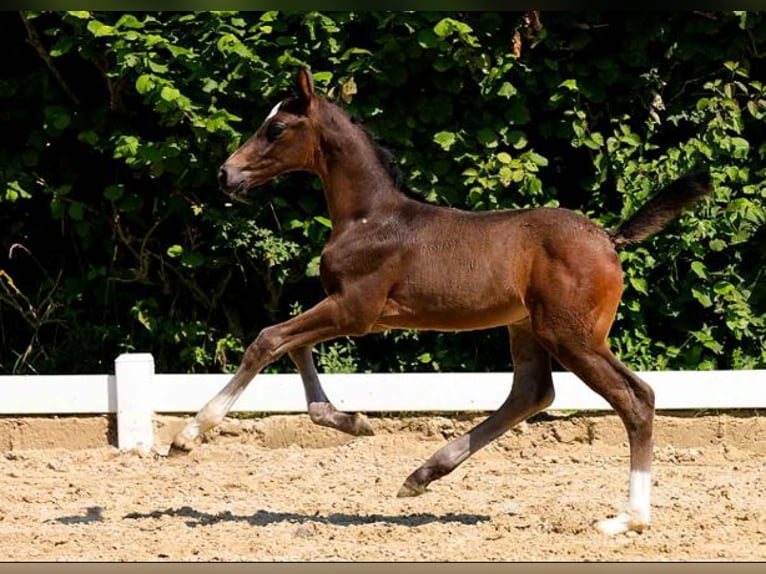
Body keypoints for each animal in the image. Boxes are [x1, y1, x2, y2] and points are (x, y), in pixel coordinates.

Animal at [172, 70, 712, 536]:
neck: (369, 218)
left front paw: (190, 434)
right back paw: (422, 475)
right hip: (527, 328)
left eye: (277, 128)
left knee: (635, 398)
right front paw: (352, 422)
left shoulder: (355, 310)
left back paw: (628, 519)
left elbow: (268, 340)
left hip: (571, 336)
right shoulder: (354, 311)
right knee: (531, 393)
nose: (226, 175)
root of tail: (608, 237)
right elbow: (295, 347)